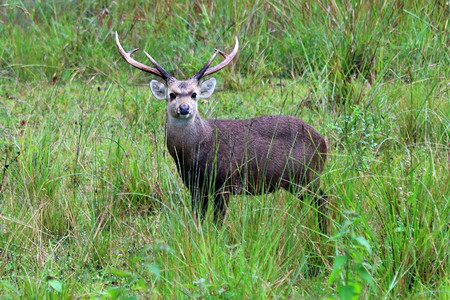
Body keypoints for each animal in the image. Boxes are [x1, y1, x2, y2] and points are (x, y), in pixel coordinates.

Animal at [114, 32, 328, 230]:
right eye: (171, 94)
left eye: (194, 94)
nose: (184, 108)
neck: (196, 151)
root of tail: (324, 143)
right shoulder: (195, 187)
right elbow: (198, 219)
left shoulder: (224, 182)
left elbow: (218, 222)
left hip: (305, 175)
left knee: (324, 199)